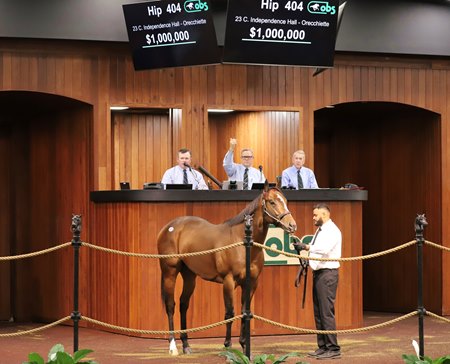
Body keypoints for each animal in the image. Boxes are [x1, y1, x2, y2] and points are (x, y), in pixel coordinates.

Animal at [156, 182, 298, 356]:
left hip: (189, 275)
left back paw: (186, 344)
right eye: (272, 202)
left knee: (184, 304)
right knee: (171, 305)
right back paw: (173, 346)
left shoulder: (251, 283)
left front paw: (244, 346)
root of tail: (169, 227)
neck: (243, 243)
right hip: (169, 272)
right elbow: (230, 312)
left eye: (285, 201)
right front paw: (228, 345)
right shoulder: (228, 281)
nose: (292, 225)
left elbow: (244, 311)